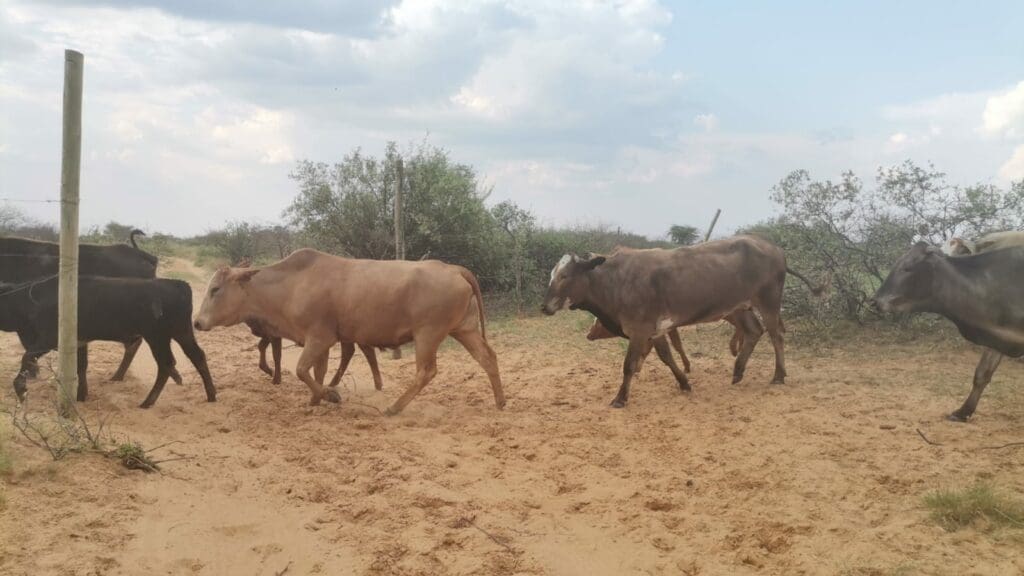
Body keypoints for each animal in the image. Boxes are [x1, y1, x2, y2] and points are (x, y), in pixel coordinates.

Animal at [0, 276, 215, 408]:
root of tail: (177, 284)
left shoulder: (49, 338)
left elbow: (27, 356)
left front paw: (21, 390)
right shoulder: (79, 341)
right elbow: (81, 366)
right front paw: (81, 396)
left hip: (157, 336)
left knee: (166, 364)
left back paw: (147, 402)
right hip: (181, 332)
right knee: (196, 356)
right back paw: (211, 395)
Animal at [193, 249, 505, 414]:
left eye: (215, 289)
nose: (196, 322)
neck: (291, 284)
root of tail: (454, 269)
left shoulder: (320, 338)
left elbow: (302, 370)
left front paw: (330, 395)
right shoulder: (320, 341)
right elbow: (316, 372)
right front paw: (316, 398)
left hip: (427, 334)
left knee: (426, 372)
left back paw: (394, 408)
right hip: (464, 330)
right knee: (488, 358)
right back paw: (500, 401)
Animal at [542, 236, 822, 407]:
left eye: (565, 275)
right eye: (553, 274)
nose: (545, 306)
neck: (615, 281)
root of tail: (775, 249)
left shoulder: (639, 331)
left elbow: (629, 366)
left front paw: (620, 398)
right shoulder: (655, 331)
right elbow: (667, 357)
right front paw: (684, 383)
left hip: (768, 302)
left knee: (776, 334)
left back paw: (778, 375)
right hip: (741, 307)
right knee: (755, 331)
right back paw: (738, 371)